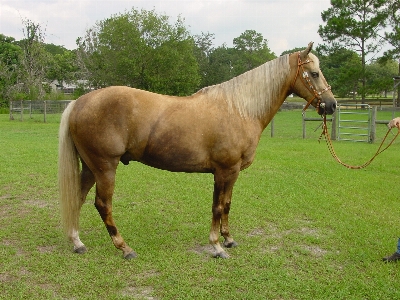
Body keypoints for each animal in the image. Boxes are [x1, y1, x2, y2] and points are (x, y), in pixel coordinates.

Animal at [58, 41, 334, 258]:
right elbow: (218, 207)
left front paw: (228, 239)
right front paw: (217, 247)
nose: (331, 105)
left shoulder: (230, 173)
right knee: (103, 204)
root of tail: (79, 102)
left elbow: (226, 204)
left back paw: (77, 242)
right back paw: (124, 248)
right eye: (314, 73)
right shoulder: (224, 171)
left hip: (90, 167)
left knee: (78, 198)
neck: (239, 109)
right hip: (105, 167)